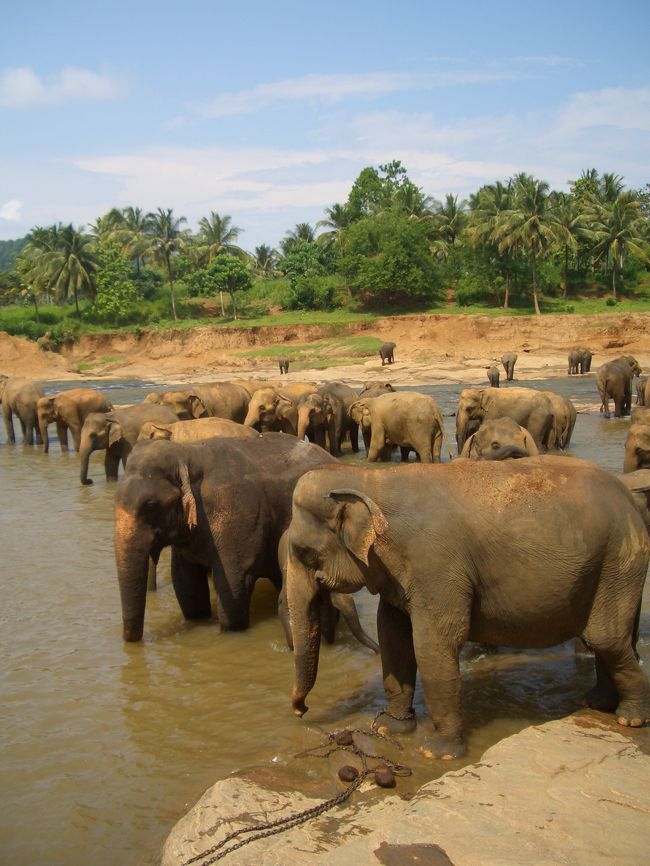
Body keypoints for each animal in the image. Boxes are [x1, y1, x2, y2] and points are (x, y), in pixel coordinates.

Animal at [112, 430, 334, 636]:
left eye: (150, 504)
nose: (133, 642)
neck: (187, 454)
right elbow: (185, 584)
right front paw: (198, 619)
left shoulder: (239, 515)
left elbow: (234, 583)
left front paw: (230, 631)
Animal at [288, 460, 648, 756]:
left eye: (304, 553)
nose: (300, 710)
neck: (369, 479)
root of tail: (628, 499)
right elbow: (393, 637)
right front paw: (389, 728)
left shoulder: (436, 565)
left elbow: (433, 646)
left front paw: (438, 752)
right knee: (611, 640)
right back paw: (598, 703)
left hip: (619, 561)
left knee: (605, 638)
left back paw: (630, 718)